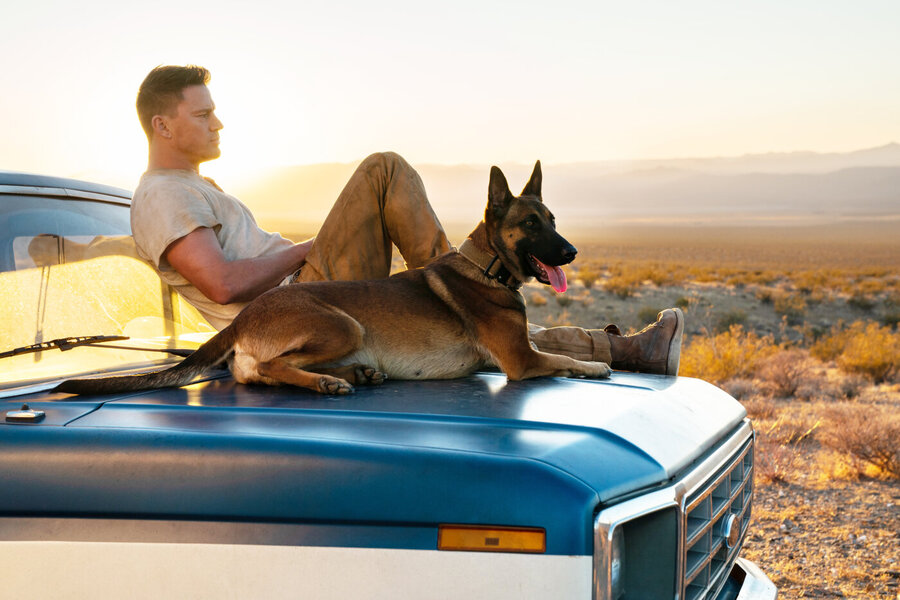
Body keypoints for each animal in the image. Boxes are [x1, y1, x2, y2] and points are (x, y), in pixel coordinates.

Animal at [56, 162, 612, 396]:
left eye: (553, 219)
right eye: (531, 224)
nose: (571, 252)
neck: (485, 266)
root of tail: (245, 318)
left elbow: (557, 352)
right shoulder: (520, 361)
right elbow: (563, 359)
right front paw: (596, 365)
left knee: (257, 372)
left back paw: (354, 373)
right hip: (345, 324)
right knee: (268, 368)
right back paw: (330, 381)